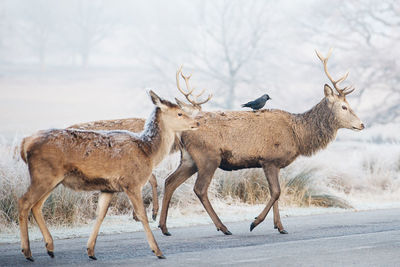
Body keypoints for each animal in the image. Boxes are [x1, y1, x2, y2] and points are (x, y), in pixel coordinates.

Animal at [18, 90, 199, 262]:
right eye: (180, 113)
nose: (197, 123)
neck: (148, 152)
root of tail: (25, 143)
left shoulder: (108, 188)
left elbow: (100, 215)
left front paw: (90, 251)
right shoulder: (132, 182)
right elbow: (142, 215)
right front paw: (158, 251)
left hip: (52, 179)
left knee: (37, 206)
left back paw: (50, 248)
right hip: (44, 175)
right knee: (24, 201)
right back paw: (28, 252)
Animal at [157, 49, 366, 238]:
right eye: (344, 107)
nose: (362, 124)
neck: (298, 135)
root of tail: (181, 132)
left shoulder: (276, 164)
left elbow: (278, 193)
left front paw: (280, 227)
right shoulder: (269, 160)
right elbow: (276, 192)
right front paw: (255, 222)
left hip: (189, 159)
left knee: (169, 181)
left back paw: (164, 227)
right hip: (208, 157)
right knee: (199, 189)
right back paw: (223, 227)